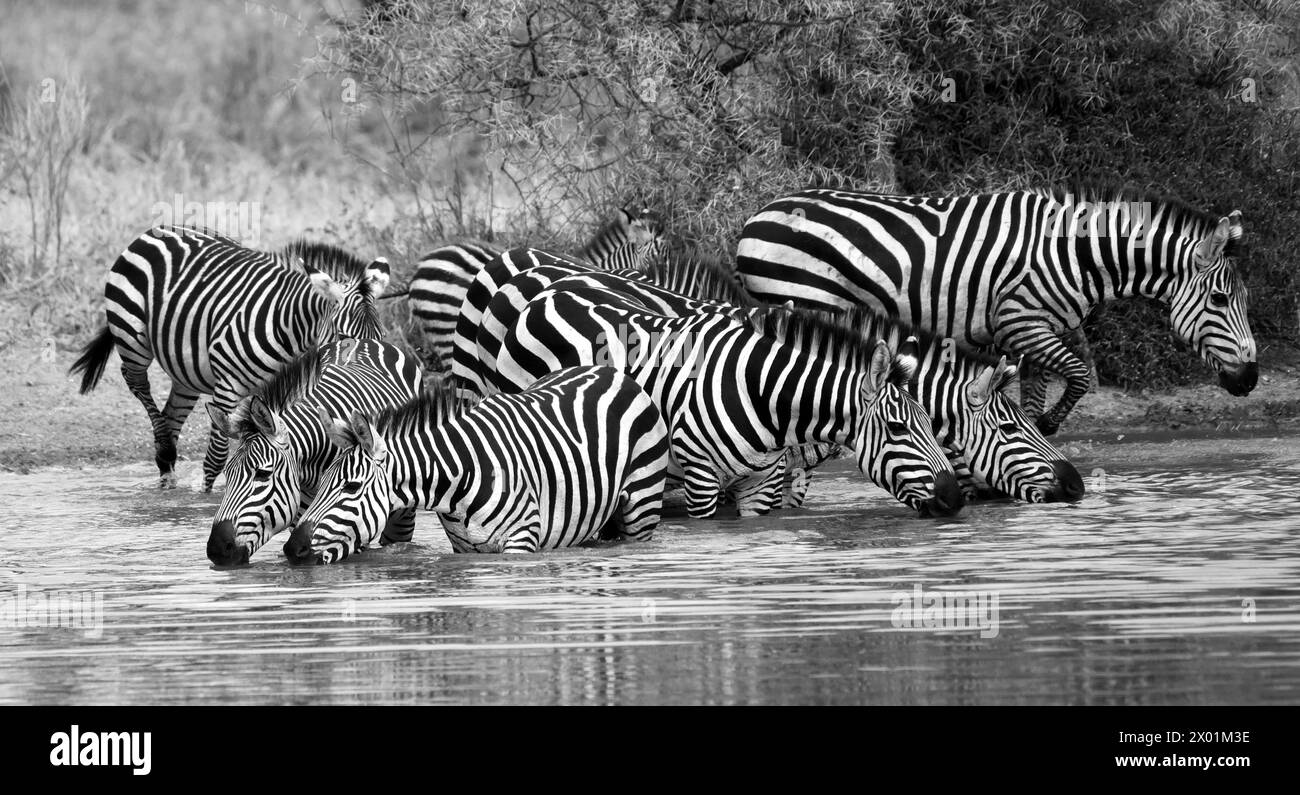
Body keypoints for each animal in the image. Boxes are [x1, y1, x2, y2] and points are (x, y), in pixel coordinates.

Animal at [69, 226, 392, 490]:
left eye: (380, 336)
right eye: (344, 337)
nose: (367, 375)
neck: (290, 329)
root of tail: (156, 230)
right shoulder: (227, 388)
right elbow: (217, 457)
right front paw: (206, 497)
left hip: (187, 367)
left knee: (173, 412)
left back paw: (167, 473)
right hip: (133, 338)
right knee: (136, 381)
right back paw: (165, 451)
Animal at [282, 366, 670, 563]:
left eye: (350, 487)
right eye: (319, 485)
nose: (291, 550)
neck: (456, 480)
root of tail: (612, 371)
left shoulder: (520, 541)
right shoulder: (465, 548)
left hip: (642, 505)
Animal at [491, 285, 962, 518]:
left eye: (931, 425)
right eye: (898, 428)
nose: (954, 498)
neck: (763, 396)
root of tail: (546, 297)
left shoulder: (763, 482)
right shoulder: (701, 478)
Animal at [735, 184, 1257, 435]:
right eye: (1219, 300)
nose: (1250, 380)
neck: (1075, 254)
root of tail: (756, 217)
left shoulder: (1038, 331)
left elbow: (1037, 394)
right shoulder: (1022, 323)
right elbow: (1080, 377)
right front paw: (1047, 425)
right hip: (804, 299)